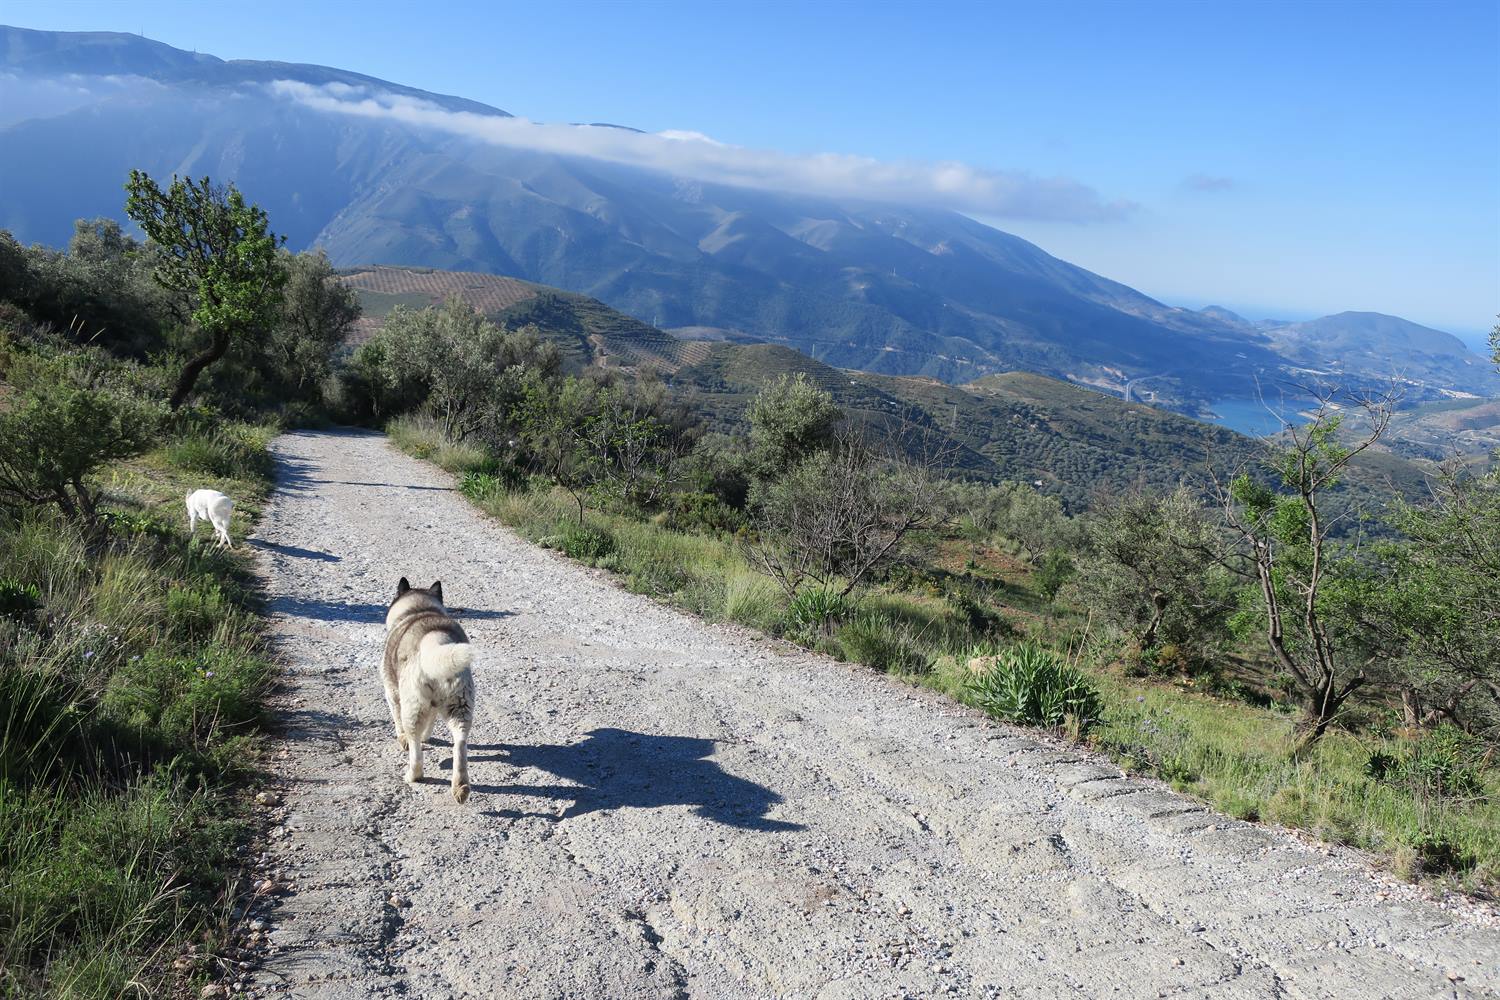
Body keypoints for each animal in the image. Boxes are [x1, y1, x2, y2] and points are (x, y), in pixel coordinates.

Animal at [384, 578, 471, 803]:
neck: (420, 608)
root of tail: (435, 642)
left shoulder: (392, 692)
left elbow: (397, 721)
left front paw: (403, 739)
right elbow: (431, 722)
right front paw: (427, 736)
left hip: (412, 708)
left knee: (415, 750)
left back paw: (412, 775)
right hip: (461, 706)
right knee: (460, 744)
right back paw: (461, 787)